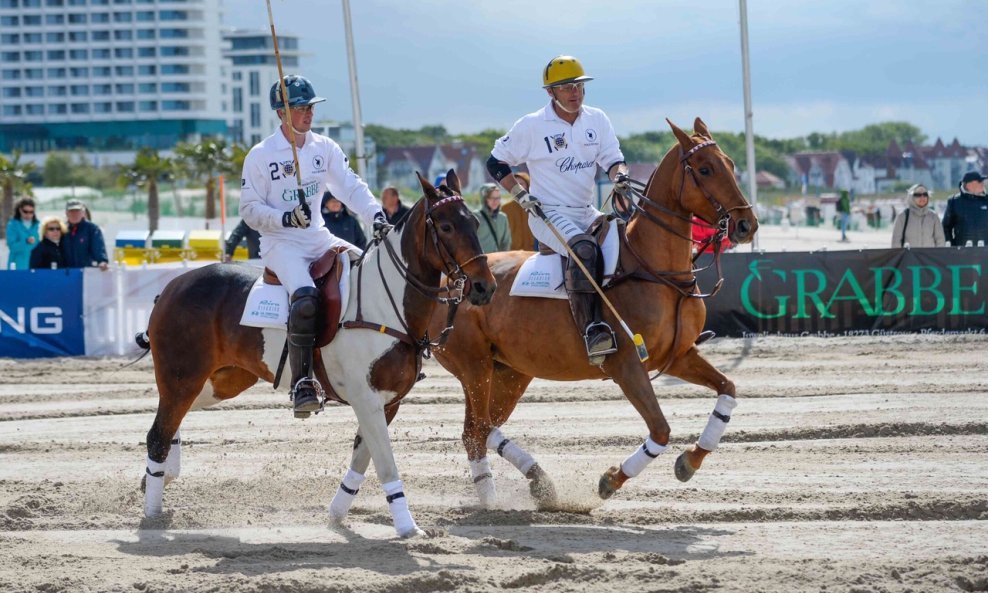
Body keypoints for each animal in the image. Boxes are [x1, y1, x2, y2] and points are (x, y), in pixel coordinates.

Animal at [139, 170, 494, 536]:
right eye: (446, 226)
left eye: (474, 222)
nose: (484, 287)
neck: (385, 301)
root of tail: (169, 288)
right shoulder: (367, 399)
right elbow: (386, 463)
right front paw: (408, 527)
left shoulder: (387, 402)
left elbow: (362, 458)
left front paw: (336, 513)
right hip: (182, 377)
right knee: (158, 434)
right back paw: (152, 514)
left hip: (222, 381)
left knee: (174, 421)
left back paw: (164, 476)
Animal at [430, 118, 756, 506]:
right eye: (705, 169)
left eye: (731, 165)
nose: (746, 225)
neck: (656, 268)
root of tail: (452, 282)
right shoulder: (627, 365)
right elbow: (660, 430)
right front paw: (610, 480)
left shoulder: (678, 355)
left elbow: (728, 389)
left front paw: (689, 461)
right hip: (474, 367)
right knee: (474, 430)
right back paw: (498, 500)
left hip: (510, 372)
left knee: (484, 427)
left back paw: (539, 483)